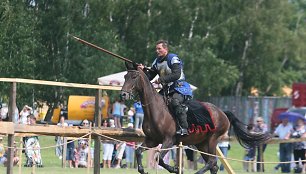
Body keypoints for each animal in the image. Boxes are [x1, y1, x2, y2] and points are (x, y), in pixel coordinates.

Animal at [120, 64, 272, 173]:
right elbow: (138, 152)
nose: (123, 95)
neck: (156, 110)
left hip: (212, 140)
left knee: (212, 162)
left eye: (134, 77)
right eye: (125, 76)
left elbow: (160, 159)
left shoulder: (168, 140)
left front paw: (175, 169)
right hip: (202, 144)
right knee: (213, 165)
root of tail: (222, 113)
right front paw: (142, 169)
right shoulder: (152, 140)